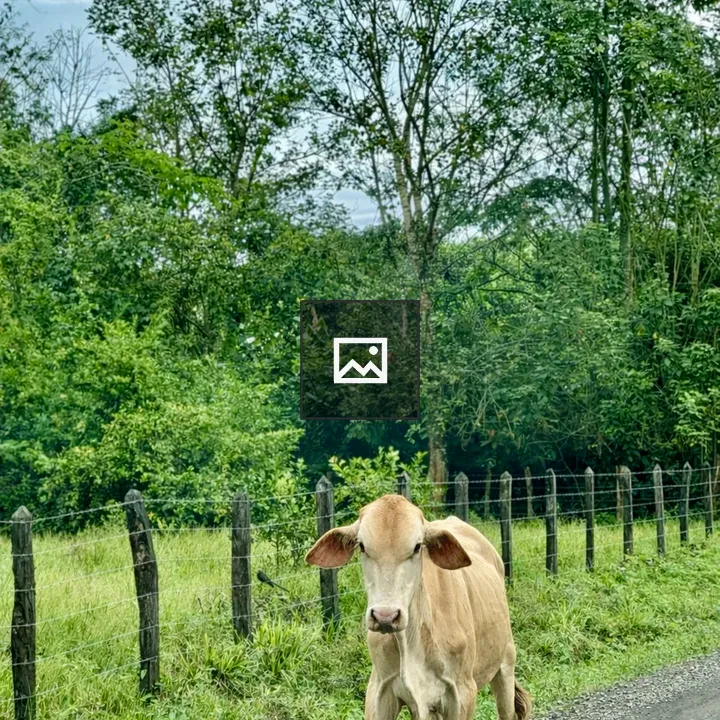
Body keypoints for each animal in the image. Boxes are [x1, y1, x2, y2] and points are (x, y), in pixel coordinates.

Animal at [306, 494, 532, 720]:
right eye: (361, 546)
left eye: (417, 547)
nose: (385, 616)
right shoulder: (379, 690)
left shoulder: (463, 692)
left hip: (506, 663)